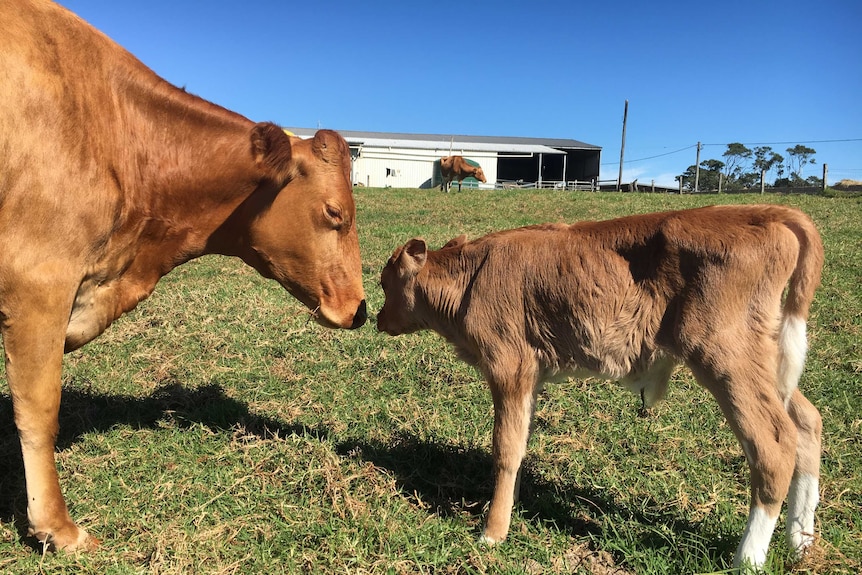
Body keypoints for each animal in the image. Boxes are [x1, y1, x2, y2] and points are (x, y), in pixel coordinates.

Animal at [378, 204, 824, 572]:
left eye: (385, 284)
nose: (377, 318)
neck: (471, 279)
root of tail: (763, 212)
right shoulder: (531, 375)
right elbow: (521, 441)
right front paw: (513, 505)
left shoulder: (509, 366)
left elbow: (504, 447)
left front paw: (493, 532)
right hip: (766, 358)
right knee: (807, 422)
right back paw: (801, 542)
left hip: (724, 353)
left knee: (774, 444)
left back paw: (746, 560)